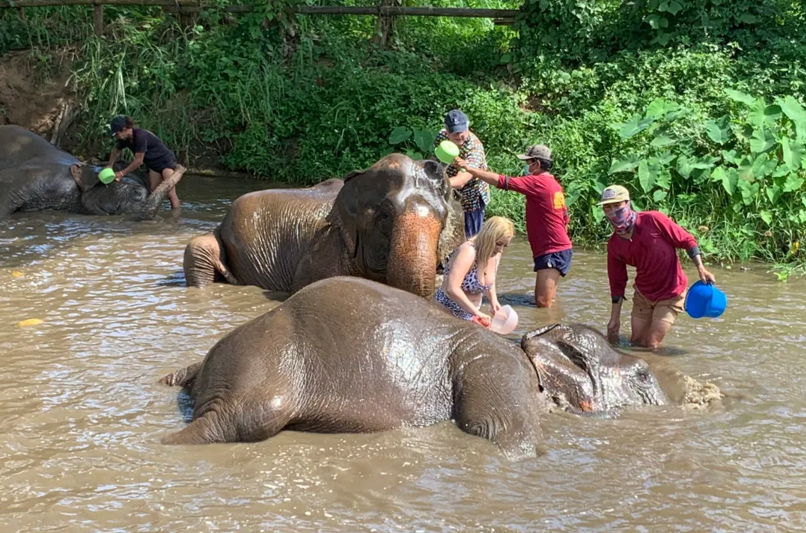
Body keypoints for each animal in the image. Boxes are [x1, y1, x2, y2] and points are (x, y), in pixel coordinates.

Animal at [159, 274, 668, 458]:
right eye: (644, 375)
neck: (526, 349)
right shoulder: (498, 369)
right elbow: (503, 433)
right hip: (264, 372)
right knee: (241, 419)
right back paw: (164, 445)